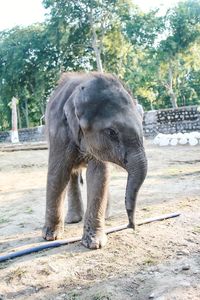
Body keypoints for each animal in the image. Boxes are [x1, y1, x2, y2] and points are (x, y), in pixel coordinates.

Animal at [42, 72, 148, 248]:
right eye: (112, 132)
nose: (131, 226)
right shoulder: (58, 131)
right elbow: (58, 174)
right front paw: (50, 237)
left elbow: (99, 175)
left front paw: (94, 243)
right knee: (71, 174)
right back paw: (73, 220)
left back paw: (104, 216)